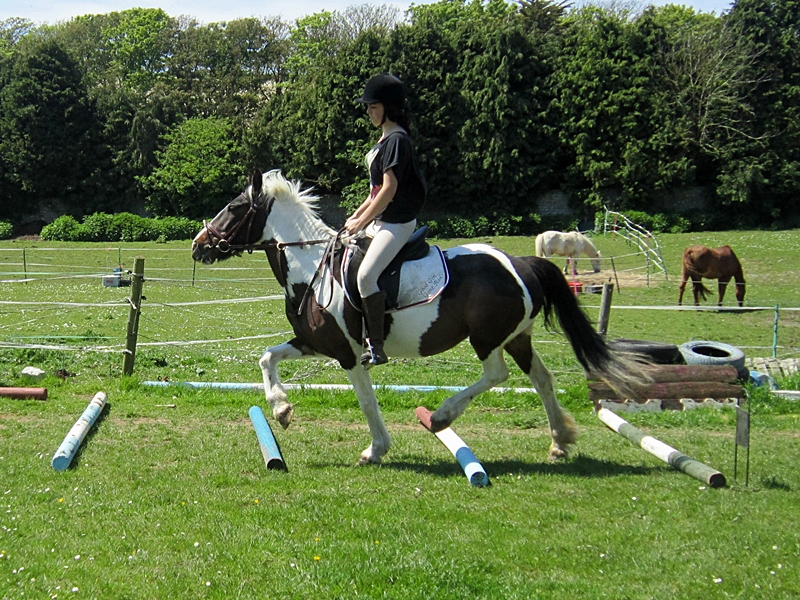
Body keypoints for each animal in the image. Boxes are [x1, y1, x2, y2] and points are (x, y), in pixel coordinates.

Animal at [192, 170, 650, 466]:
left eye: (233, 207)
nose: (198, 245)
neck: (312, 266)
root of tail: (522, 261)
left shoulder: (349, 354)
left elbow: (366, 400)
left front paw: (375, 449)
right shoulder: (314, 342)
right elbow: (267, 358)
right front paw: (282, 410)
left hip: (487, 338)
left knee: (497, 374)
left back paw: (443, 416)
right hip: (517, 336)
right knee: (541, 377)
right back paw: (559, 443)